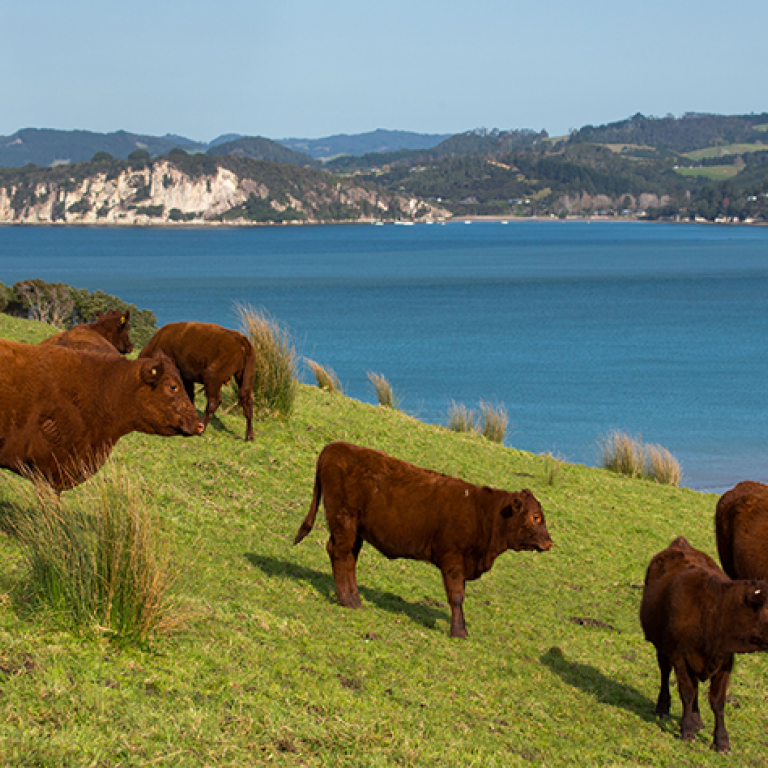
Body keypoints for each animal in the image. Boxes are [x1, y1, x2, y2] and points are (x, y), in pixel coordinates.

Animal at [292, 440, 552, 640]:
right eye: (536, 517)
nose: (549, 543)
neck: (483, 513)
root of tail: (335, 447)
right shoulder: (452, 560)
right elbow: (457, 597)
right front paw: (459, 632)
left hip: (355, 530)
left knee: (347, 558)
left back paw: (354, 599)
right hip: (344, 522)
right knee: (340, 554)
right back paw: (347, 600)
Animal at [640, 536, 768, 752]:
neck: (714, 611)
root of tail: (681, 544)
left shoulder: (725, 661)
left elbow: (717, 701)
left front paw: (721, 741)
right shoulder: (679, 656)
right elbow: (687, 693)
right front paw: (687, 731)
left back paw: (697, 718)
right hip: (662, 647)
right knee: (666, 674)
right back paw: (663, 708)